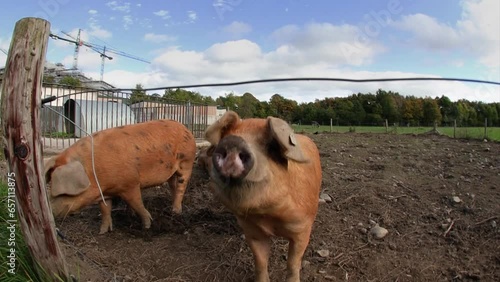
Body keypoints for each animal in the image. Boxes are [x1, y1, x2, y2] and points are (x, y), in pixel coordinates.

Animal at [44, 119, 197, 234]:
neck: (92, 172)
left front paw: (147, 226)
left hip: (187, 161)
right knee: (173, 185)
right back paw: (172, 208)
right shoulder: (105, 192)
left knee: (181, 186)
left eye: (60, 194)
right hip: (171, 171)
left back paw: (176, 212)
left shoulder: (131, 184)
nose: (50, 211)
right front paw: (103, 232)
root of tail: (186, 129)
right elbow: (105, 209)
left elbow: (138, 204)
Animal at [205, 111, 322, 280]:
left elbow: (293, 263)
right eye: (226, 136)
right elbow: (260, 261)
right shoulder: (252, 231)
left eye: (271, 146)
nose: (233, 141)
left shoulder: (303, 228)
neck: (268, 216)